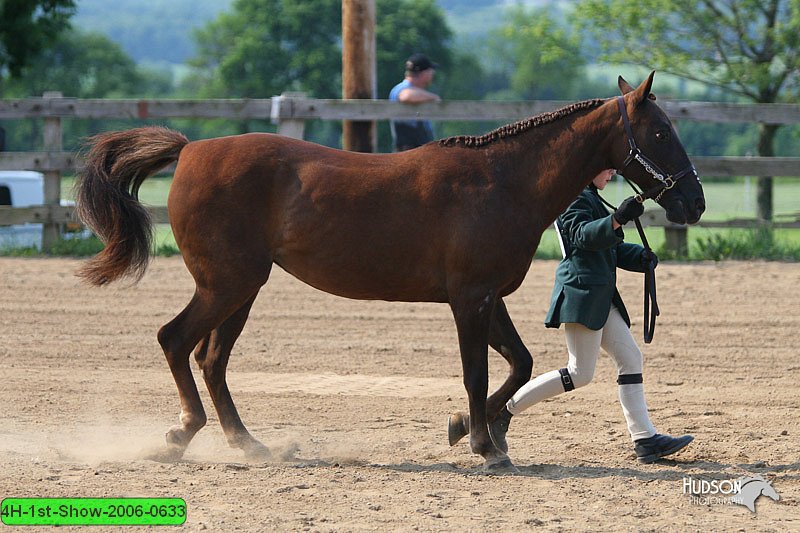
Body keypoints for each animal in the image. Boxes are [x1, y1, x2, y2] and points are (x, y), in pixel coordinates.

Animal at [75, 71, 700, 470]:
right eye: (660, 132)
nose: (693, 203)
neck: (501, 181)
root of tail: (190, 149)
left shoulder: (488, 296)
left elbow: (518, 364)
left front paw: (472, 428)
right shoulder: (469, 299)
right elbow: (477, 373)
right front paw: (484, 446)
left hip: (242, 288)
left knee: (211, 359)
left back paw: (250, 445)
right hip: (226, 284)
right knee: (176, 340)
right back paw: (181, 435)